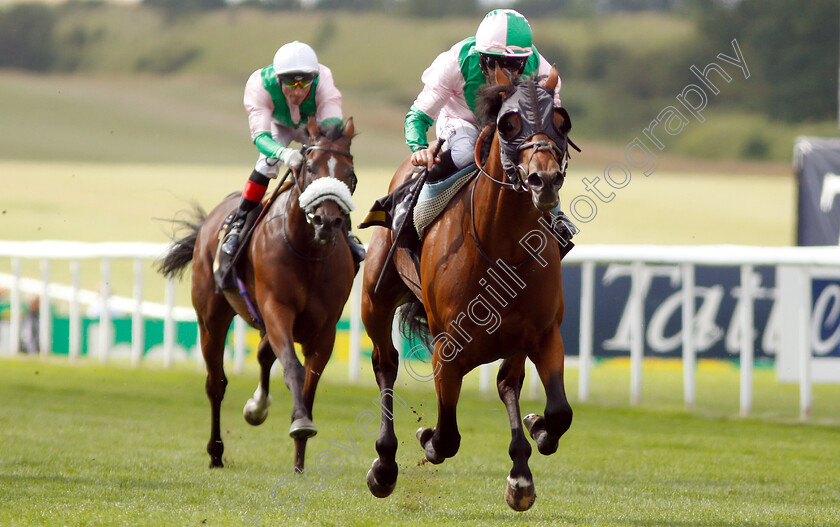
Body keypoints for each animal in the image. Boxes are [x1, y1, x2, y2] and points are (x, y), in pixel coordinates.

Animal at [158, 117, 358, 472]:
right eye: (309, 167)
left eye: (349, 174)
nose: (328, 221)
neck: (308, 251)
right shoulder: (277, 309)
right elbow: (292, 367)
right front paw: (299, 423)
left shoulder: (325, 330)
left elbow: (308, 383)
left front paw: (299, 457)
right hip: (211, 317)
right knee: (216, 383)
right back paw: (216, 451)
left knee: (264, 355)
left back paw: (257, 407)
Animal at [358, 70, 576, 512]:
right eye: (508, 124)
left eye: (561, 122)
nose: (545, 179)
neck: (503, 248)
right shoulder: (448, 347)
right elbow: (446, 436)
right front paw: (425, 438)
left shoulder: (543, 333)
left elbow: (559, 410)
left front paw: (535, 435)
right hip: (375, 299)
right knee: (386, 364)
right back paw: (384, 465)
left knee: (508, 382)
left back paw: (521, 468)